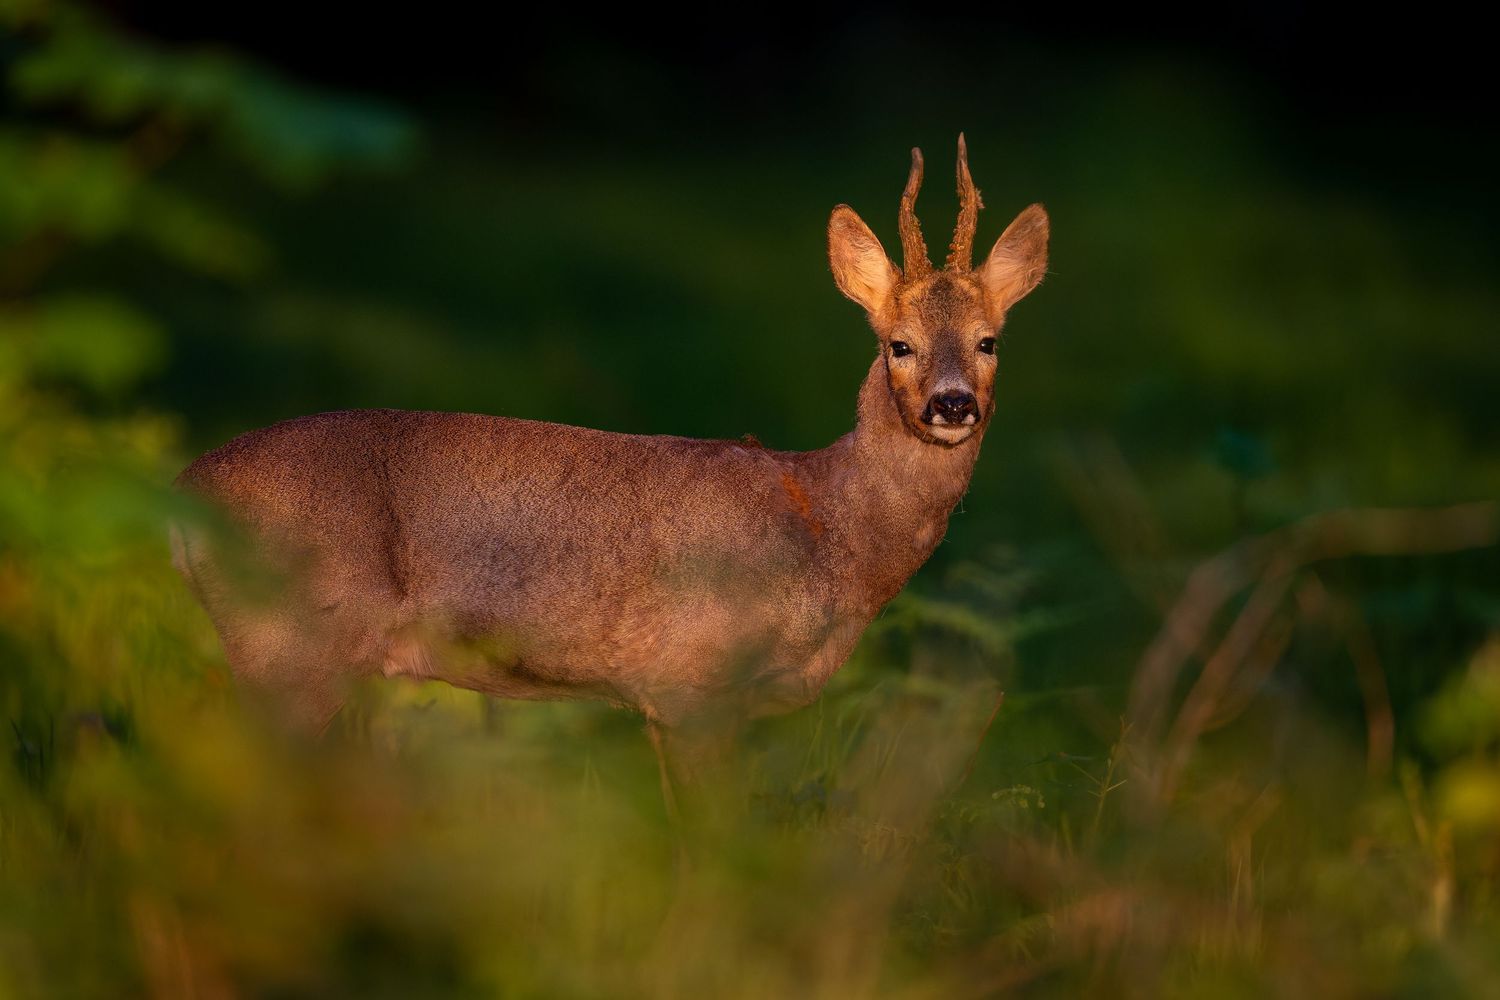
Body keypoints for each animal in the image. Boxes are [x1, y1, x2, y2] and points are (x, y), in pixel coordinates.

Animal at [171, 135, 1049, 810]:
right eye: (898, 343)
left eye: (989, 340)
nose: (951, 403)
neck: (829, 525)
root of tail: (183, 493)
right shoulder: (693, 683)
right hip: (289, 643)